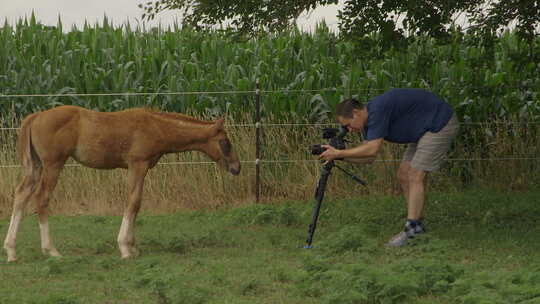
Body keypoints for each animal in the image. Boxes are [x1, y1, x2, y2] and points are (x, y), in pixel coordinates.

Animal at [3, 105, 240, 262]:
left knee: (21, 195)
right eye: (225, 142)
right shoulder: (138, 165)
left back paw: (11, 250)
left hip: (35, 166)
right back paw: (51, 250)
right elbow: (133, 202)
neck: (156, 126)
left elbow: (136, 203)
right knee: (42, 198)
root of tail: (35, 116)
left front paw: (133, 247)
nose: (236, 168)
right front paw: (125, 248)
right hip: (53, 164)